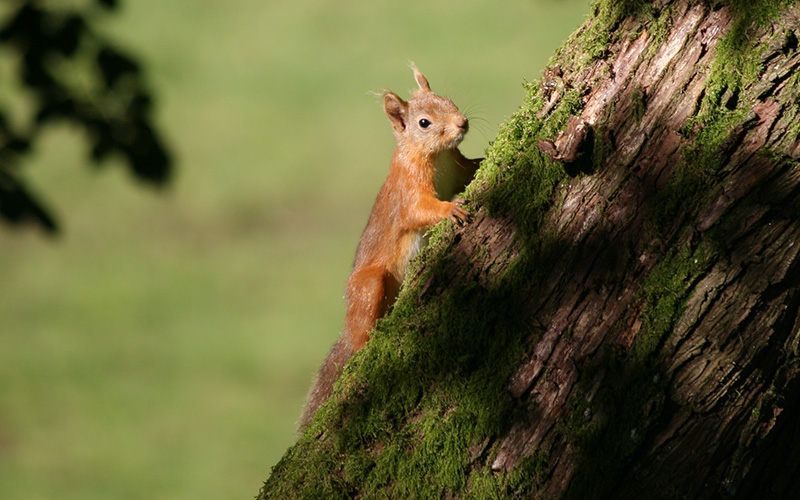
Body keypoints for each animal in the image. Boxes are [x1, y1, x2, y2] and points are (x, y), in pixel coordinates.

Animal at [298, 64, 476, 428]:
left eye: (447, 99)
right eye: (424, 123)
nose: (462, 124)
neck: (436, 156)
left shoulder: (459, 168)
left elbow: (472, 169)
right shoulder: (408, 190)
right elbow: (419, 211)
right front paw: (450, 210)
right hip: (369, 285)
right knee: (361, 333)